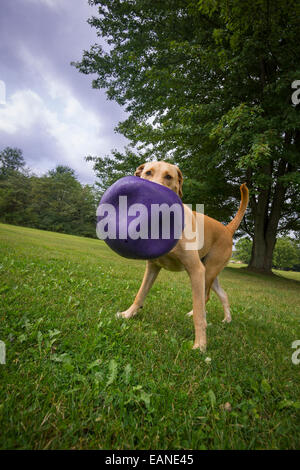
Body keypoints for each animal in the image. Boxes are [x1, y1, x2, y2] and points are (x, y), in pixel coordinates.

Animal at [117, 160, 248, 350]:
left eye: (169, 176)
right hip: (212, 272)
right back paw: (227, 319)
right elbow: (140, 294)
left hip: (207, 272)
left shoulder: (195, 270)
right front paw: (128, 314)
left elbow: (199, 314)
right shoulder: (152, 266)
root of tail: (227, 229)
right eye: (148, 173)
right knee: (223, 295)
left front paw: (200, 345)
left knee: (204, 298)